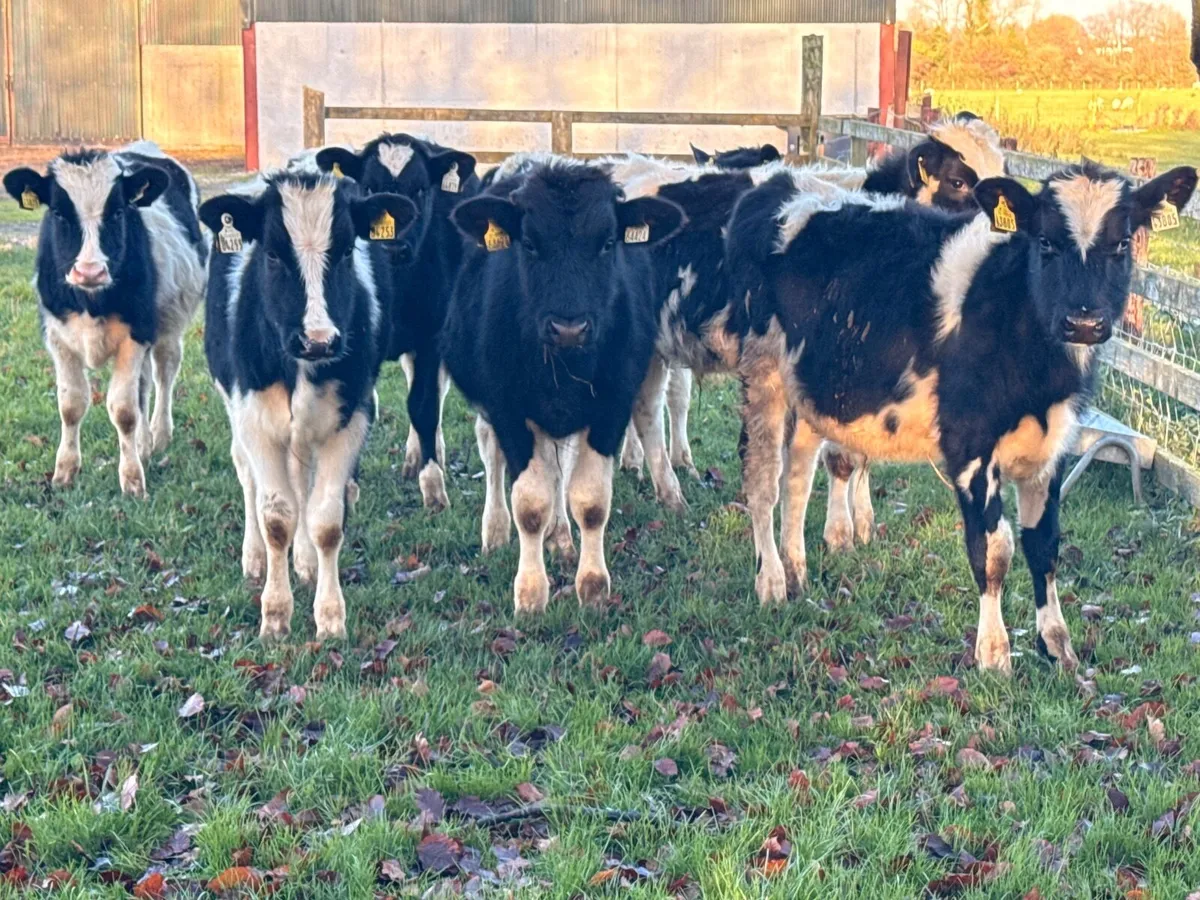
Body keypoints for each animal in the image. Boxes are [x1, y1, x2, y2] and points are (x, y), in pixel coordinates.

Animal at [3, 143, 206, 497]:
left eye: (117, 213)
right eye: (58, 213)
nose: (90, 271)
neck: (90, 301)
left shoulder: (136, 334)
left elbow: (124, 410)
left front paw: (133, 481)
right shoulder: (57, 336)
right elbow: (71, 405)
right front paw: (65, 472)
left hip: (168, 325)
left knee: (163, 373)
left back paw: (158, 435)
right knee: (143, 385)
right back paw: (143, 445)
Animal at [199, 172, 418, 639]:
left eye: (348, 250)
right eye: (272, 253)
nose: (318, 340)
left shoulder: (351, 418)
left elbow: (326, 520)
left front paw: (330, 616)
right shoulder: (254, 420)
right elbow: (276, 517)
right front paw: (276, 614)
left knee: (304, 484)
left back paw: (304, 560)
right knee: (249, 478)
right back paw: (254, 557)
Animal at [309, 134, 479, 513]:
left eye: (420, 190)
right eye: (369, 188)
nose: (393, 247)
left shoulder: (431, 338)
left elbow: (424, 405)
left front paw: (433, 486)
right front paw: (348, 486)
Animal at [440, 159, 684, 614]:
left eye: (608, 242)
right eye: (529, 243)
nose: (569, 328)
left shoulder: (609, 409)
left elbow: (589, 500)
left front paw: (592, 584)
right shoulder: (509, 410)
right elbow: (530, 504)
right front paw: (531, 593)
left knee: (560, 473)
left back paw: (562, 538)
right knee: (494, 457)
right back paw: (496, 530)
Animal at [725, 161, 1197, 674]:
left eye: (1124, 243)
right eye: (1045, 241)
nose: (1085, 323)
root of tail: (788, 177)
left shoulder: (1053, 446)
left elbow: (1045, 544)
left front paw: (1056, 644)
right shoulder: (971, 446)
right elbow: (993, 551)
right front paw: (994, 653)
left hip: (816, 388)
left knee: (798, 475)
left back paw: (796, 570)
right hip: (763, 375)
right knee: (763, 481)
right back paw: (771, 580)